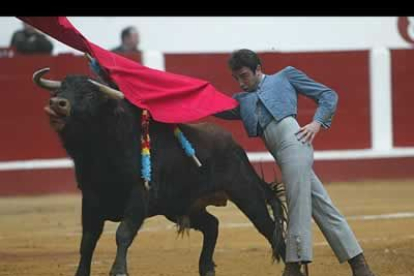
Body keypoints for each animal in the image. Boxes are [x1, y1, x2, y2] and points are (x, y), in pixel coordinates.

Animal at [32, 68, 286, 276]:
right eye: (61, 89)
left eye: (89, 95)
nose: (57, 103)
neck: (103, 149)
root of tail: (235, 145)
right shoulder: (91, 197)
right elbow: (87, 240)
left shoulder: (139, 195)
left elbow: (123, 233)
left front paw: (119, 270)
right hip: (180, 205)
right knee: (212, 225)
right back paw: (206, 267)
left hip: (246, 193)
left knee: (268, 228)